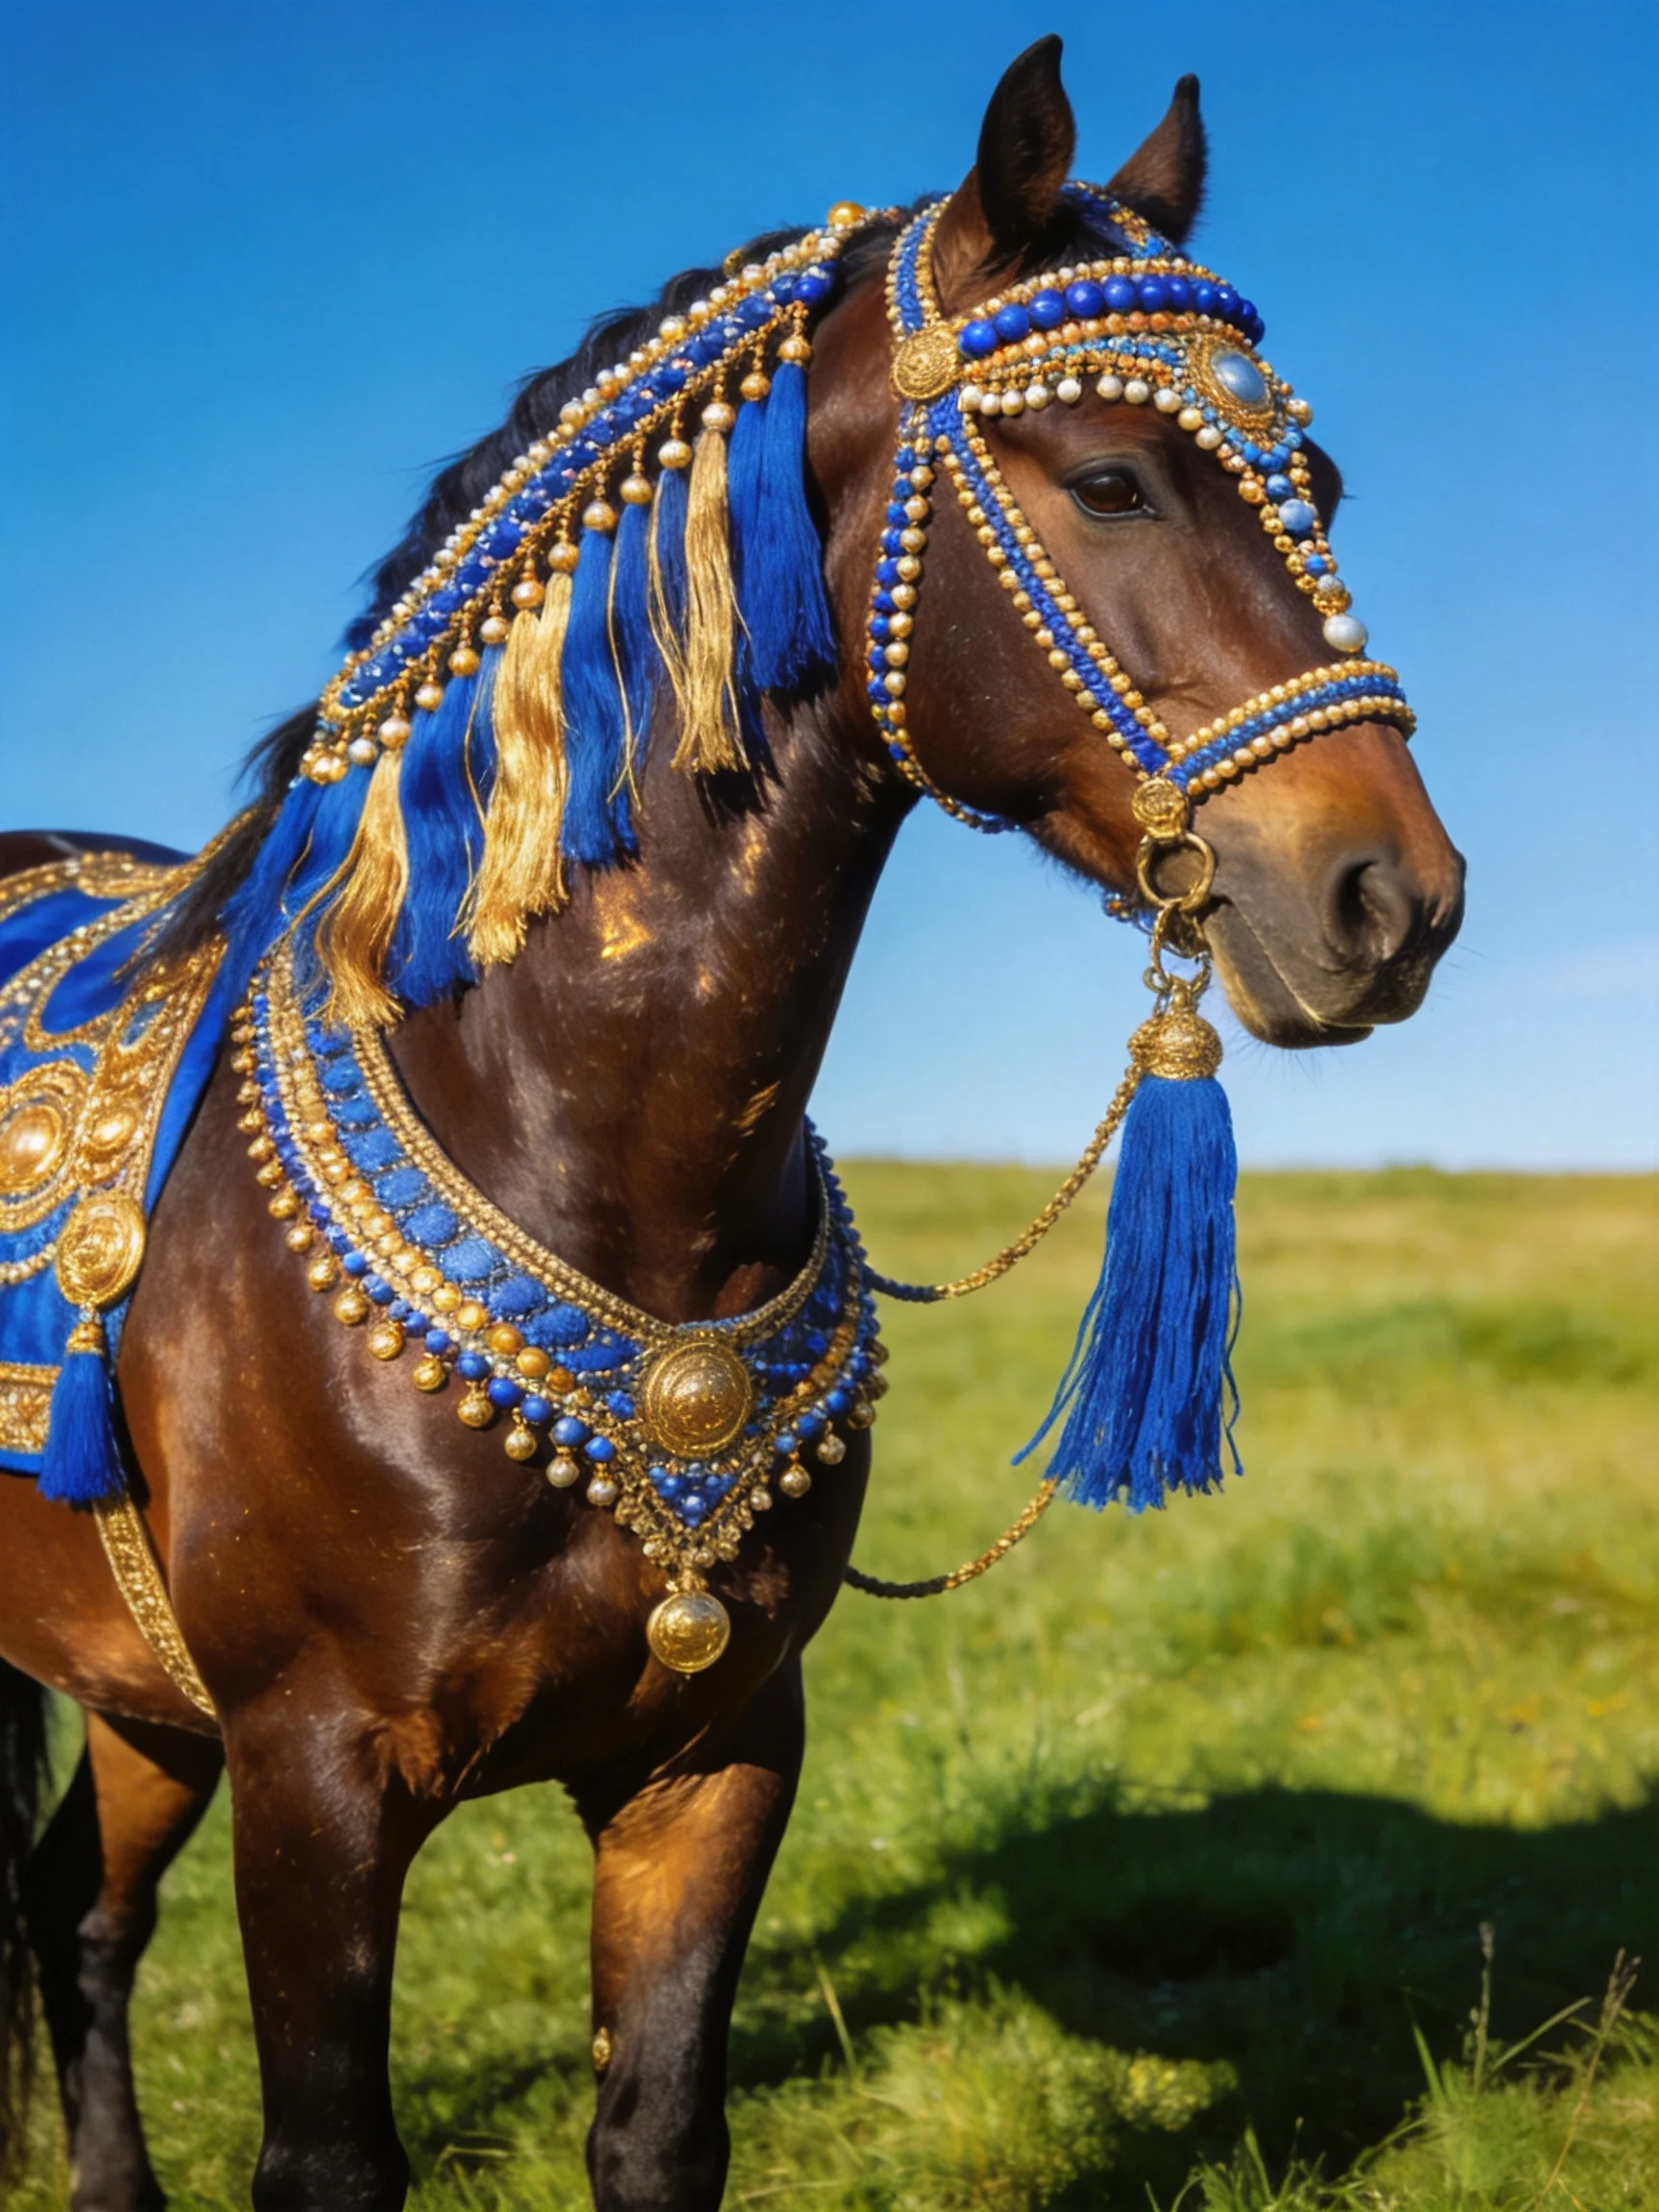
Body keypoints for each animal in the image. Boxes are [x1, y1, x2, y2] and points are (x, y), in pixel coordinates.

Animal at [0, 40, 1463, 2212]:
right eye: (1110, 479)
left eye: (1325, 488)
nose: (1392, 902)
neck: (587, 1158)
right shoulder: (314, 1770)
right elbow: (330, 2154)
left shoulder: (717, 1755)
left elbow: (659, 2129)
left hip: (133, 1695)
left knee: (70, 1911)